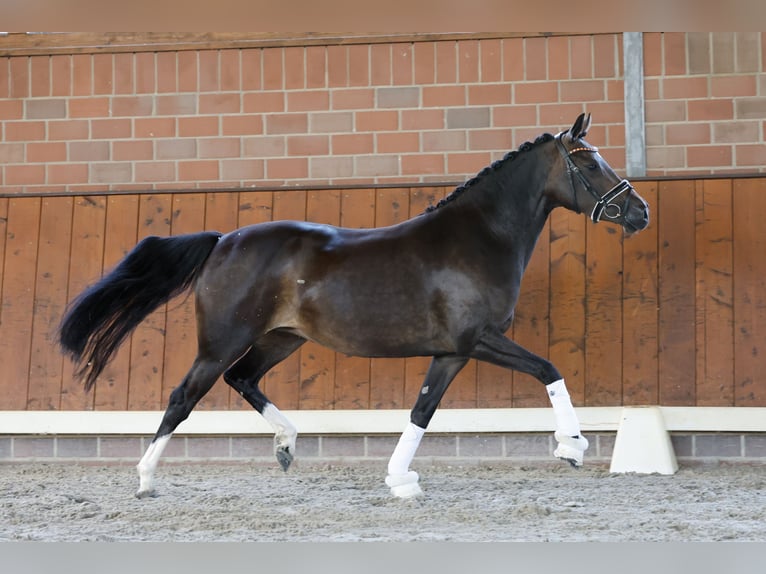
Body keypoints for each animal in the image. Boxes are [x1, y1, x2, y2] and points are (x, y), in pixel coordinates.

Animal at [59, 113, 649, 498]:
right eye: (589, 164)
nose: (639, 212)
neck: (480, 237)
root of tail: (223, 239)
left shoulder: (452, 352)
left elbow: (422, 410)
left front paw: (400, 478)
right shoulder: (477, 339)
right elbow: (549, 368)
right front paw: (572, 447)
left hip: (280, 339)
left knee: (242, 379)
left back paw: (287, 445)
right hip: (223, 340)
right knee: (184, 396)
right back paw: (145, 479)